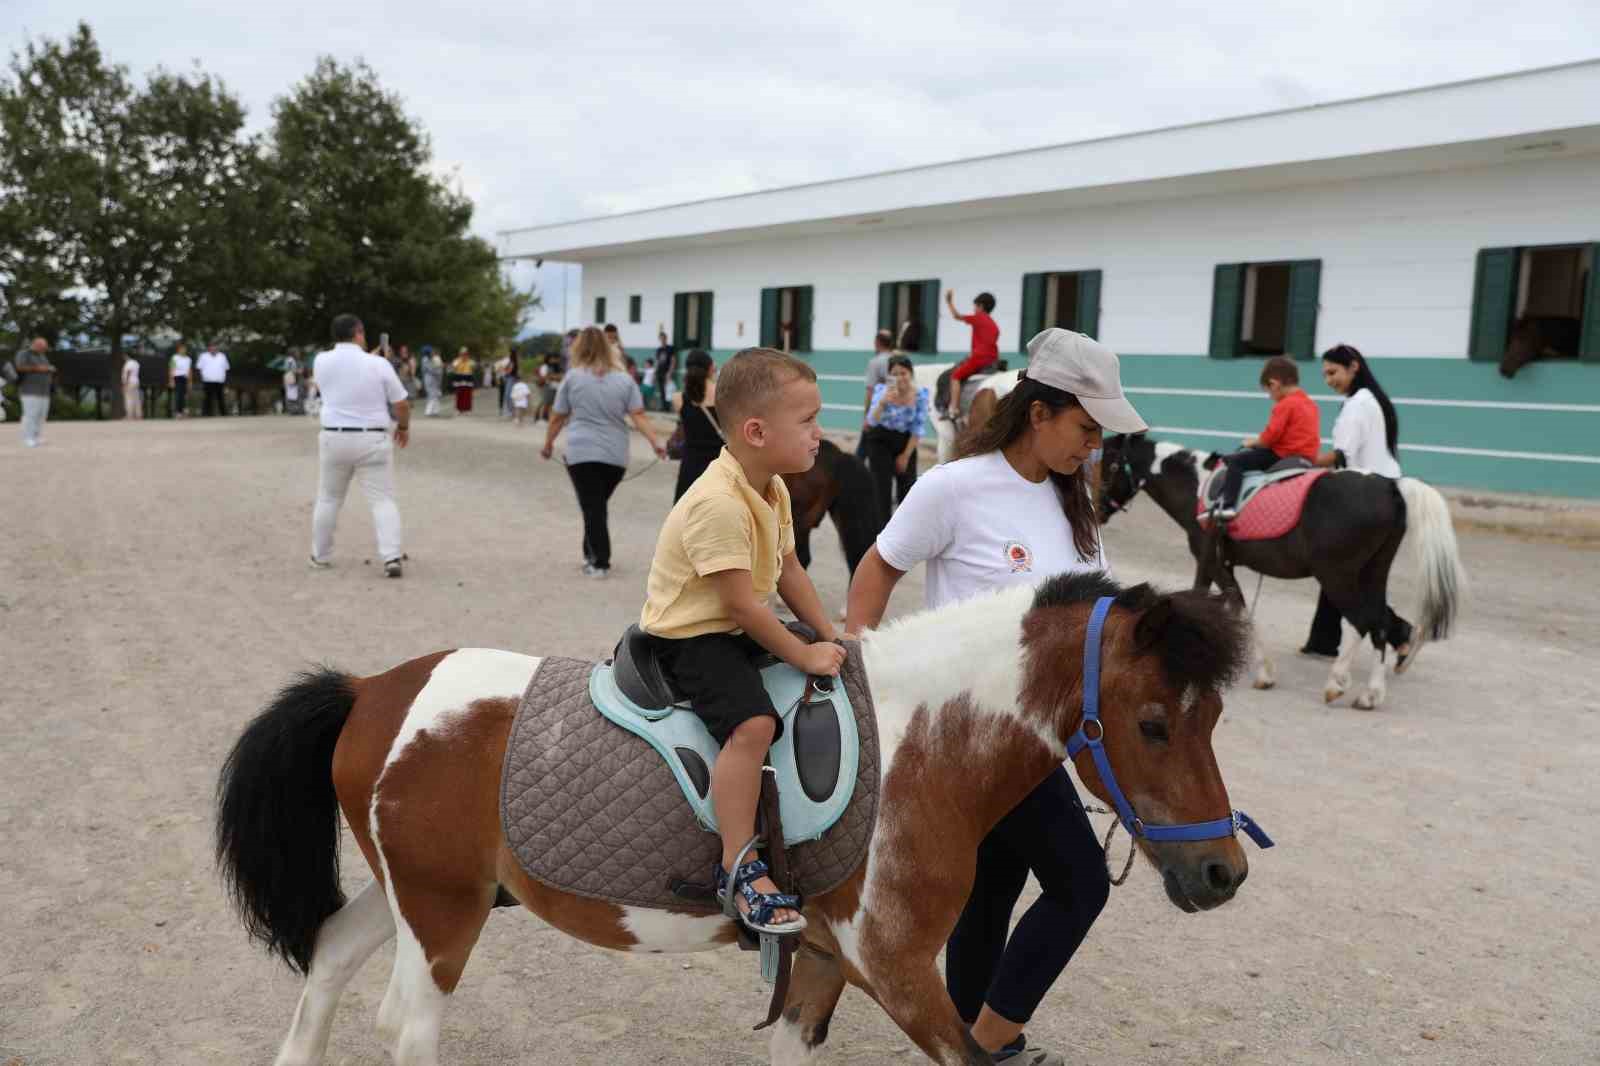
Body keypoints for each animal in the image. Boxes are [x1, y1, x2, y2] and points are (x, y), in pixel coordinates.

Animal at [216, 573, 1260, 1062]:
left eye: (1214, 716)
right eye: (1154, 723)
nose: (1223, 874)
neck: (920, 744)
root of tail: (371, 693)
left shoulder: (824, 965)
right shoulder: (898, 972)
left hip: (420, 891)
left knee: (327, 955)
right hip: (442, 912)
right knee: (407, 1027)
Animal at [1100, 435, 1465, 713]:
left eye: (1109, 465)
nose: (1098, 508)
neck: (1199, 488)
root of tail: (1389, 485)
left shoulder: (1213, 563)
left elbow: (1236, 608)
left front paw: (1262, 672)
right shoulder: (1220, 565)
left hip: (1337, 576)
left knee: (1364, 622)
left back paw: (1337, 683)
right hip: (1372, 573)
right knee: (1380, 624)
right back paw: (1370, 693)